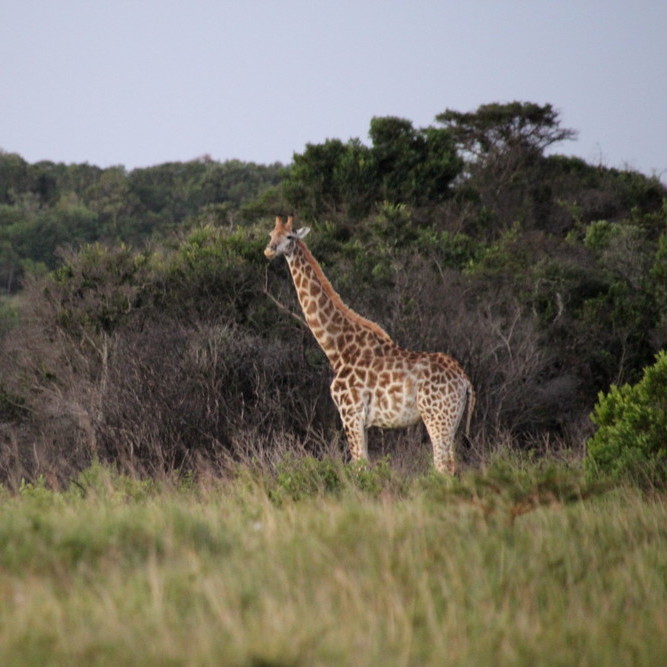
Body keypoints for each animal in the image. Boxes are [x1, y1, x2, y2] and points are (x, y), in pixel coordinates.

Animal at [264, 217, 478, 472]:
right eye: (270, 234)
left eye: (289, 237)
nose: (269, 250)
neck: (339, 349)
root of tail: (465, 380)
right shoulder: (361, 420)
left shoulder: (351, 412)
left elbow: (360, 465)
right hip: (452, 421)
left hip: (437, 418)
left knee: (443, 466)